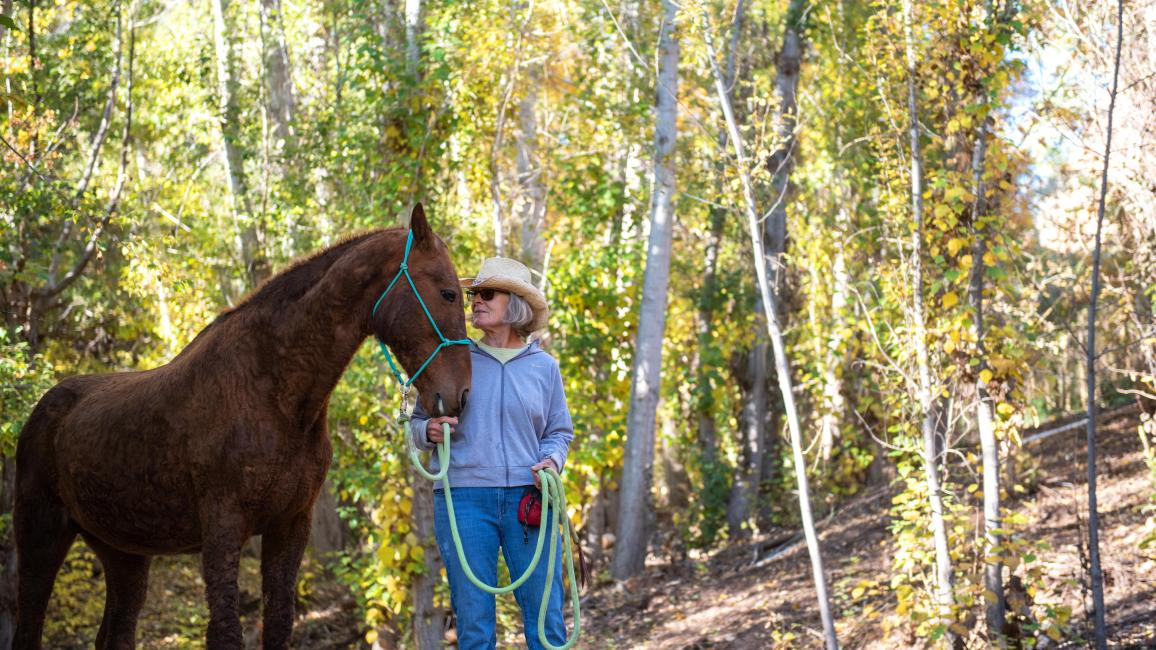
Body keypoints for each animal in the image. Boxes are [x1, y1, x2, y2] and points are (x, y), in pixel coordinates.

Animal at [11, 204, 471, 649]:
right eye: (447, 292)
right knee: (27, 626)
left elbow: (279, 624)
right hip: (40, 539)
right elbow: (226, 632)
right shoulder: (224, 527)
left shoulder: (290, 526)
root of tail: (43, 408)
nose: (461, 395)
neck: (273, 390)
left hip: (123, 553)